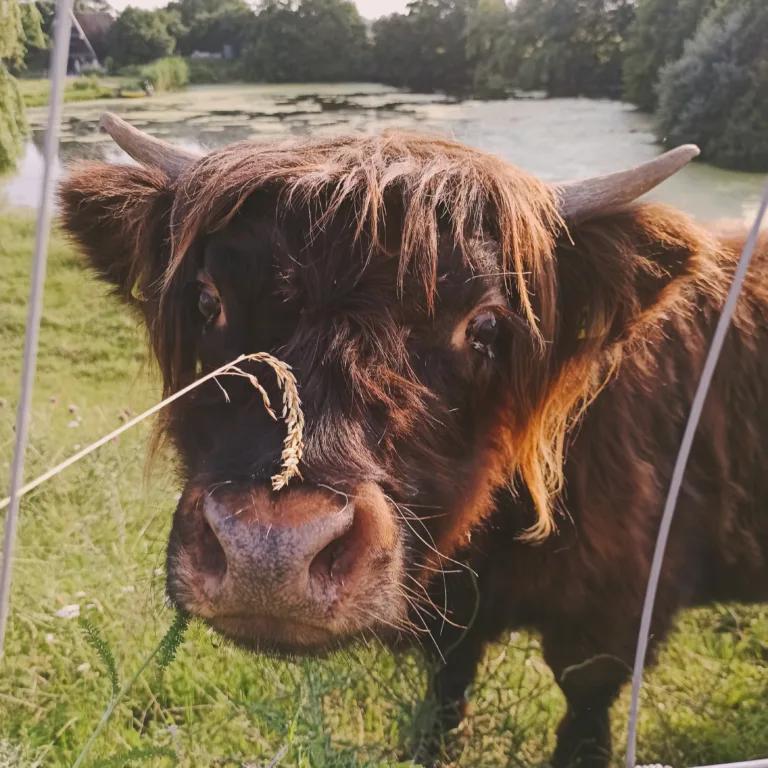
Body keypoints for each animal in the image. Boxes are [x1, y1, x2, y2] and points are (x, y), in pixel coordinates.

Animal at [59, 113, 768, 767]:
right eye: (209, 301)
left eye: (485, 324)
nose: (270, 551)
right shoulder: (455, 629)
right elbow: (445, 693)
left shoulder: (611, 622)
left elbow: (583, 722)